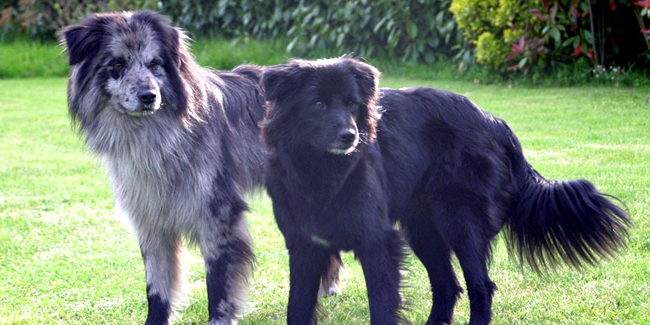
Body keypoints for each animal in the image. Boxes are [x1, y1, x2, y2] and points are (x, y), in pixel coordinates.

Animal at [260, 58, 628, 324]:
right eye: (318, 104)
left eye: (352, 104)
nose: (350, 136)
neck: (321, 173)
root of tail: (492, 120)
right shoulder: (304, 247)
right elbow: (297, 309)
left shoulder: (377, 243)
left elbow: (382, 307)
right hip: (424, 229)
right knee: (448, 286)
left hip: (460, 221)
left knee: (480, 287)